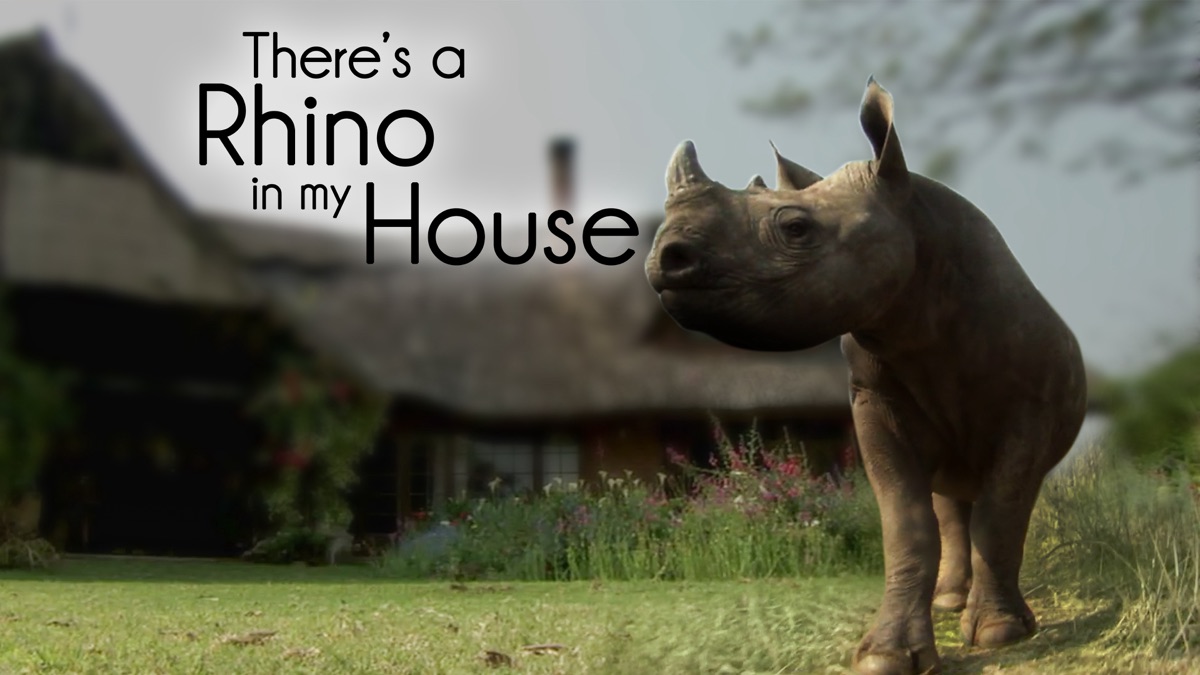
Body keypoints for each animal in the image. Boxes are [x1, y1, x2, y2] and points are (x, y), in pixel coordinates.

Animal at [644, 78, 1088, 675]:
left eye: (796, 228)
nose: (665, 259)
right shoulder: (875, 397)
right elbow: (907, 523)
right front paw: (887, 655)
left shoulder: (1031, 404)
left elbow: (1003, 511)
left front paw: (1000, 635)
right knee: (950, 497)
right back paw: (948, 601)